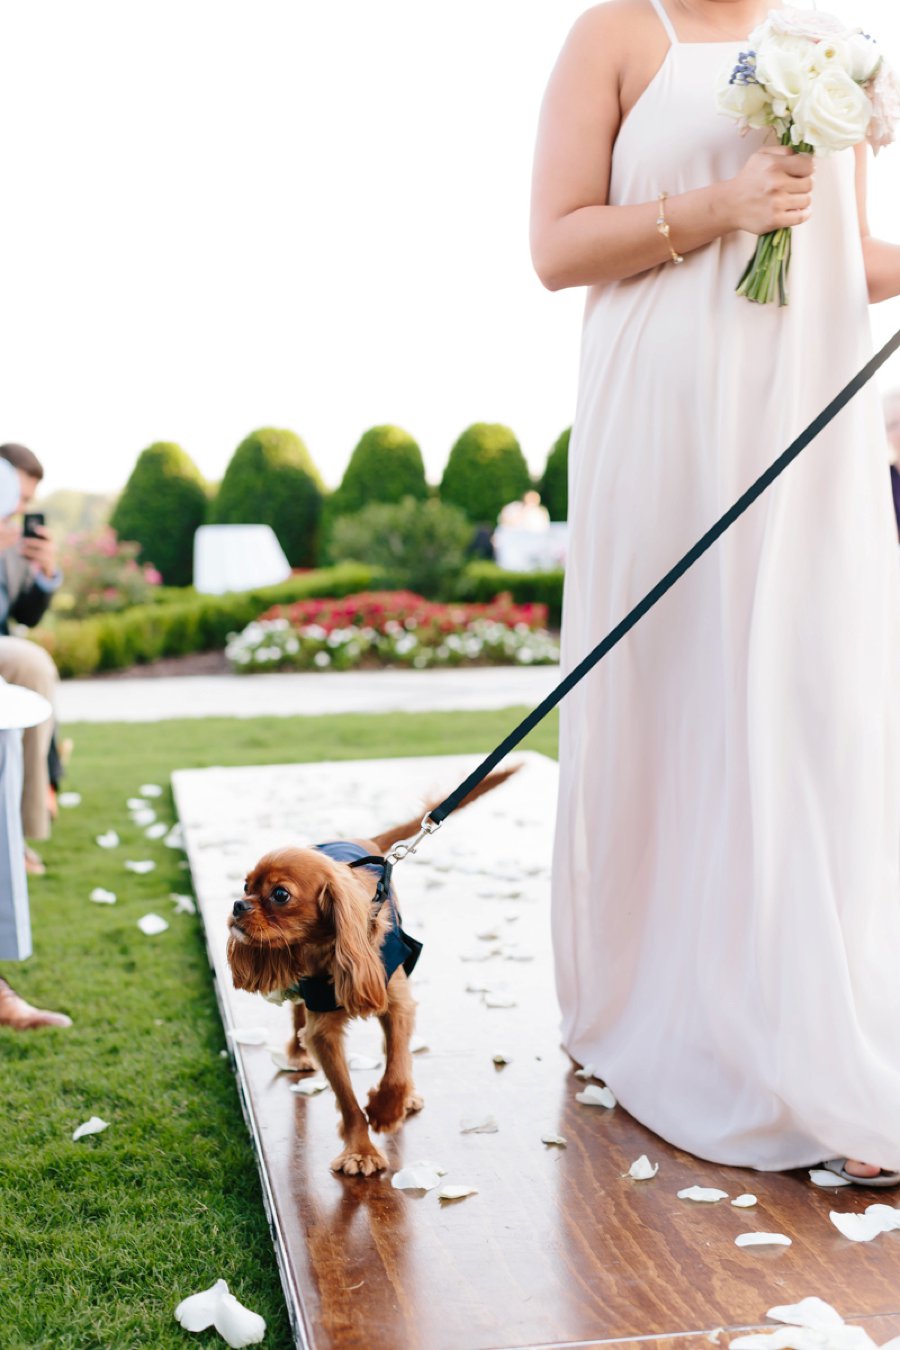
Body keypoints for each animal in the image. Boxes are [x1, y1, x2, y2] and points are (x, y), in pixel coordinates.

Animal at [229, 766, 518, 1177]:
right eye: (245, 885)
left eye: (280, 895)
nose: (237, 905)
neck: (326, 951)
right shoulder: (324, 1030)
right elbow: (347, 1098)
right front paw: (361, 1151)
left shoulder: (396, 1003)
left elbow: (395, 1065)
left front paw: (386, 1110)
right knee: (297, 1014)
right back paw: (297, 1054)